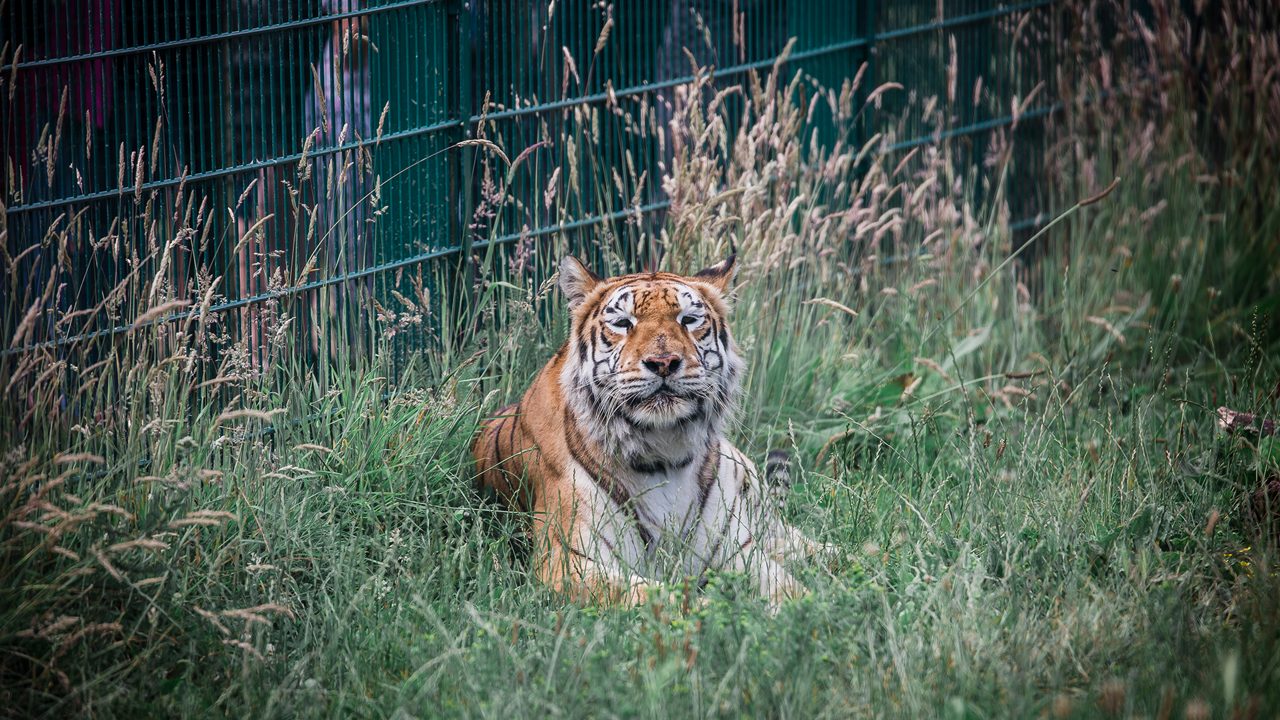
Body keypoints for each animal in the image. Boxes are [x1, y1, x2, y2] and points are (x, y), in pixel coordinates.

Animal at [472, 254, 826, 608]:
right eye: (623, 323)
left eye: (688, 319)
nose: (663, 361)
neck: (664, 449)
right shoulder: (567, 562)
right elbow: (658, 597)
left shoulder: (739, 550)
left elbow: (792, 590)